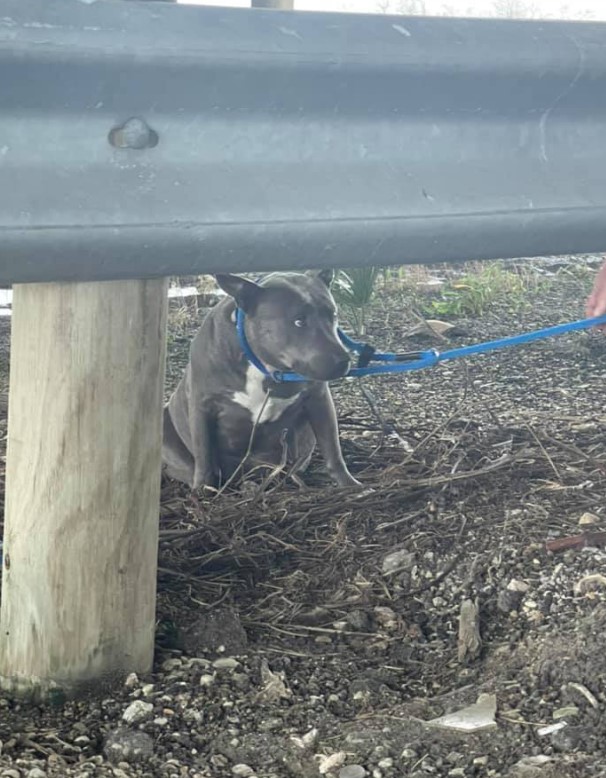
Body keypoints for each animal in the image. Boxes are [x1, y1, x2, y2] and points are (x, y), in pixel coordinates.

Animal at [162, 270, 364, 488]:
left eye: (333, 315)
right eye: (299, 321)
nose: (344, 360)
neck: (266, 367)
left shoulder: (319, 398)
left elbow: (332, 447)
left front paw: (349, 484)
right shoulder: (201, 406)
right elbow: (203, 455)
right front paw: (203, 489)